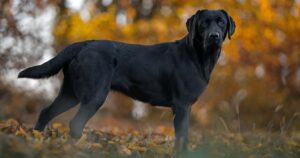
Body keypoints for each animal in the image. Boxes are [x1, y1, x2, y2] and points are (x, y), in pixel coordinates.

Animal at [18, 9, 234, 150]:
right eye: (204, 22)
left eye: (221, 22)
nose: (214, 36)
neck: (198, 56)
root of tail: (83, 44)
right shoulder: (181, 105)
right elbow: (182, 137)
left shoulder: (184, 106)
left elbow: (184, 136)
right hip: (94, 94)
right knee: (75, 123)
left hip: (71, 92)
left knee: (46, 112)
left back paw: (35, 140)